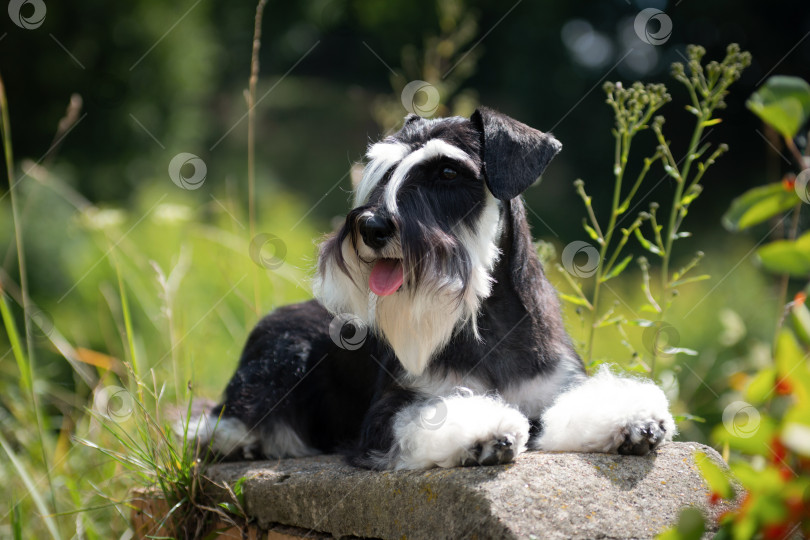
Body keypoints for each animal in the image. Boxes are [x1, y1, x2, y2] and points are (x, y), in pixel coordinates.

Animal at [196, 107, 676, 470]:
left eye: (447, 171)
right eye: (386, 170)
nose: (371, 227)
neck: (487, 320)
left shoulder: (555, 385)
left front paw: (634, 419)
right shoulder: (389, 412)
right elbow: (432, 415)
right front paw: (486, 433)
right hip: (279, 361)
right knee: (220, 422)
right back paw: (240, 442)